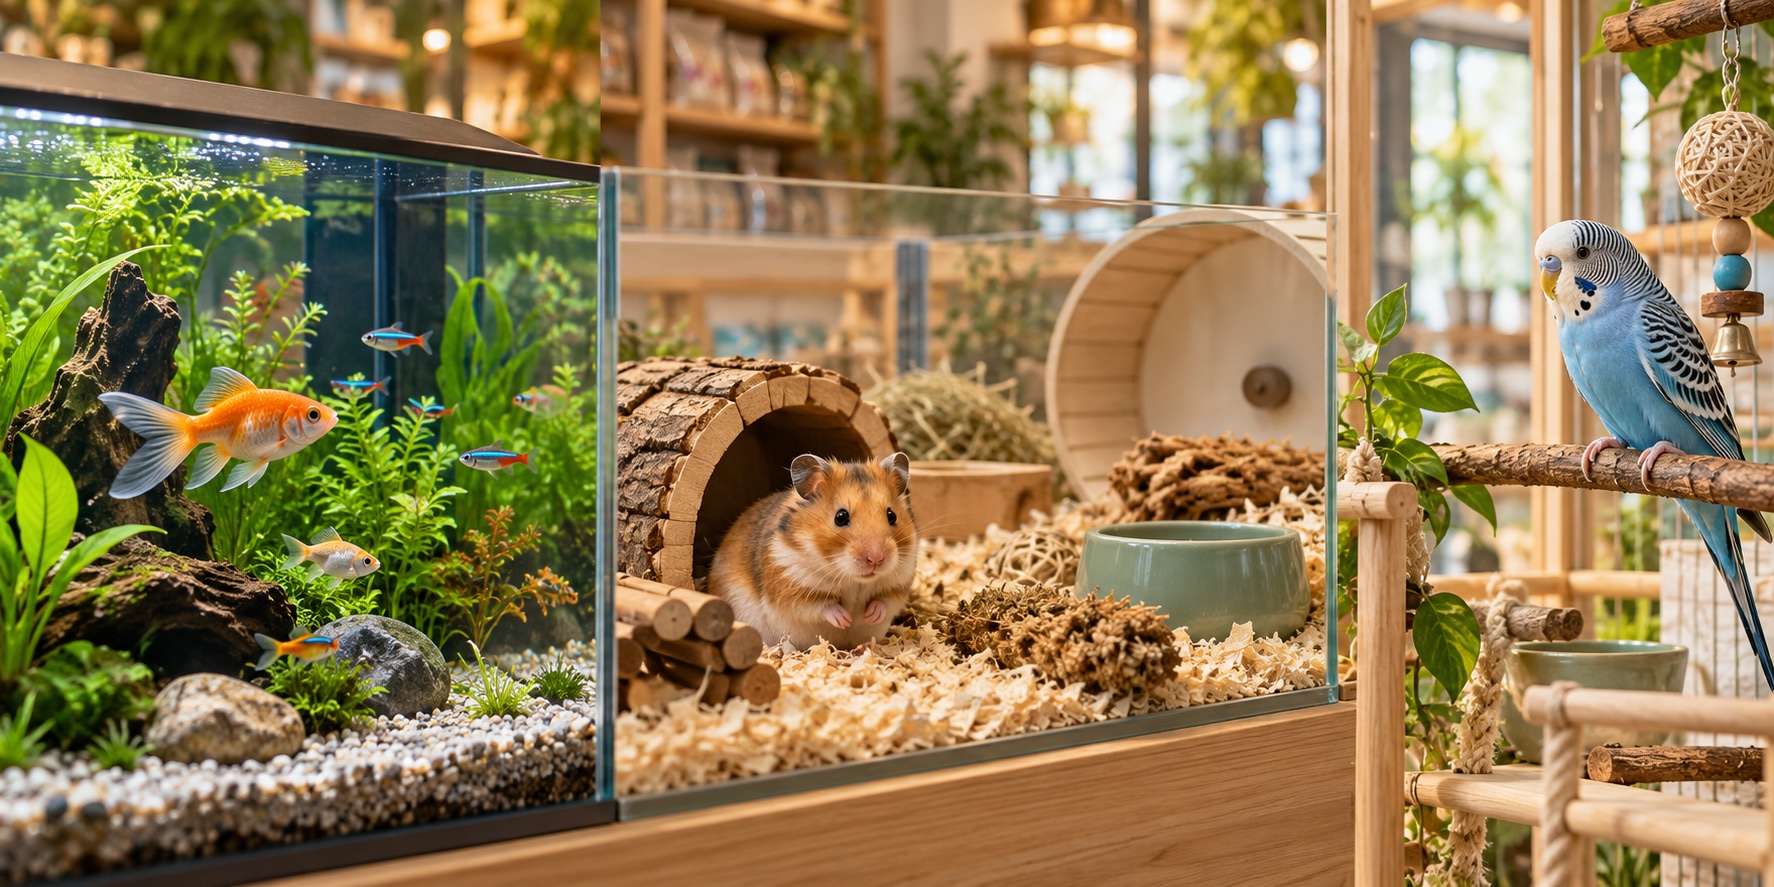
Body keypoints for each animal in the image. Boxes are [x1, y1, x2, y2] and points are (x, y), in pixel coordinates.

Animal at [709, 452, 919, 651]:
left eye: (891, 515)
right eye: (841, 517)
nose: (876, 559)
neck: (853, 579)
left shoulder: (898, 584)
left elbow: (884, 602)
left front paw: (870, 616)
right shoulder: (791, 586)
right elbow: (822, 606)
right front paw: (844, 620)